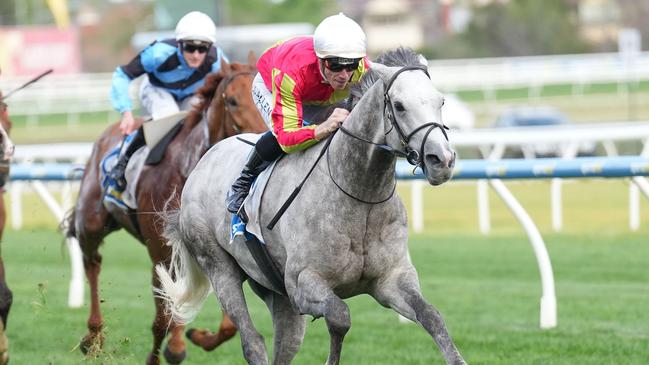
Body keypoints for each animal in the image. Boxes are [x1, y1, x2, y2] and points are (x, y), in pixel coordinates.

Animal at [64, 57, 268, 364]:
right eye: (232, 100)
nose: (260, 141)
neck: (189, 169)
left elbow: (229, 324)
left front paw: (200, 336)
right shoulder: (160, 249)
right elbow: (165, 314)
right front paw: (169, 349)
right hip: (91, 224)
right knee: (92, 263)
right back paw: (94, 336)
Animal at [158, 49, 466, 364]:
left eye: (440, 101)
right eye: (400, 106)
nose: (442, 160)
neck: (360, 195)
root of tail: (204, 160)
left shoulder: (391, 281)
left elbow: (433, 317)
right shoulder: (303, 283)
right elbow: (340, 317)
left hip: (273, 289)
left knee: (286, 343)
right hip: (220, 268)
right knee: (253, 341)